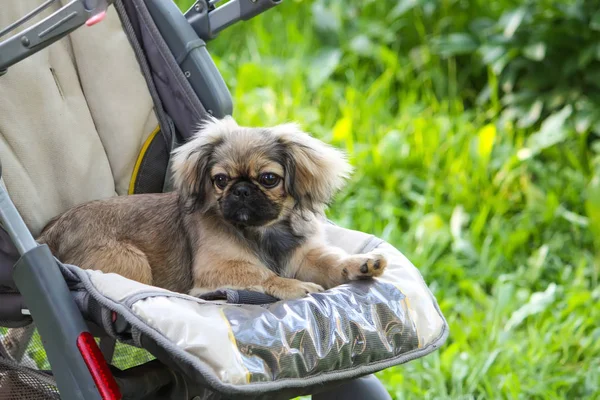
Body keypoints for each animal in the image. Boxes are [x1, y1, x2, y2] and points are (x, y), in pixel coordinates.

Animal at [37, 117, 386, 298]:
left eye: (269, 179)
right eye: (220, 180)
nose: (241, 190)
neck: (263, 232)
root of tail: (49, 234)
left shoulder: (305, 257)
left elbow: (332, 263)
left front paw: (361, 264)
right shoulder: (216, 269)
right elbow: (261, 273)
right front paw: (292, 285)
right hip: (133, 263)